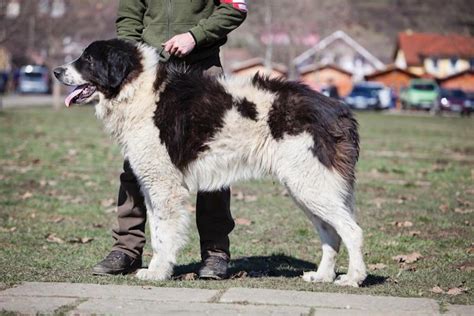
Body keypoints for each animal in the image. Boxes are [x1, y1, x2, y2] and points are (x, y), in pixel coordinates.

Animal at [54, 39, 366, 286]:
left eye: (88, 59)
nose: (57, 71)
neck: (138, 89)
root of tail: (339, 108)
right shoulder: (153, 186)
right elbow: (156, 231)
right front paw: (158, 269)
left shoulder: (164, 186)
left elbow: (164, 235)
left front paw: (157, 272)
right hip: (305, 188)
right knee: (331, 234)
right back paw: (322, 276)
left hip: (311, 185)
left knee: (352, 230)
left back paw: (353, 278)